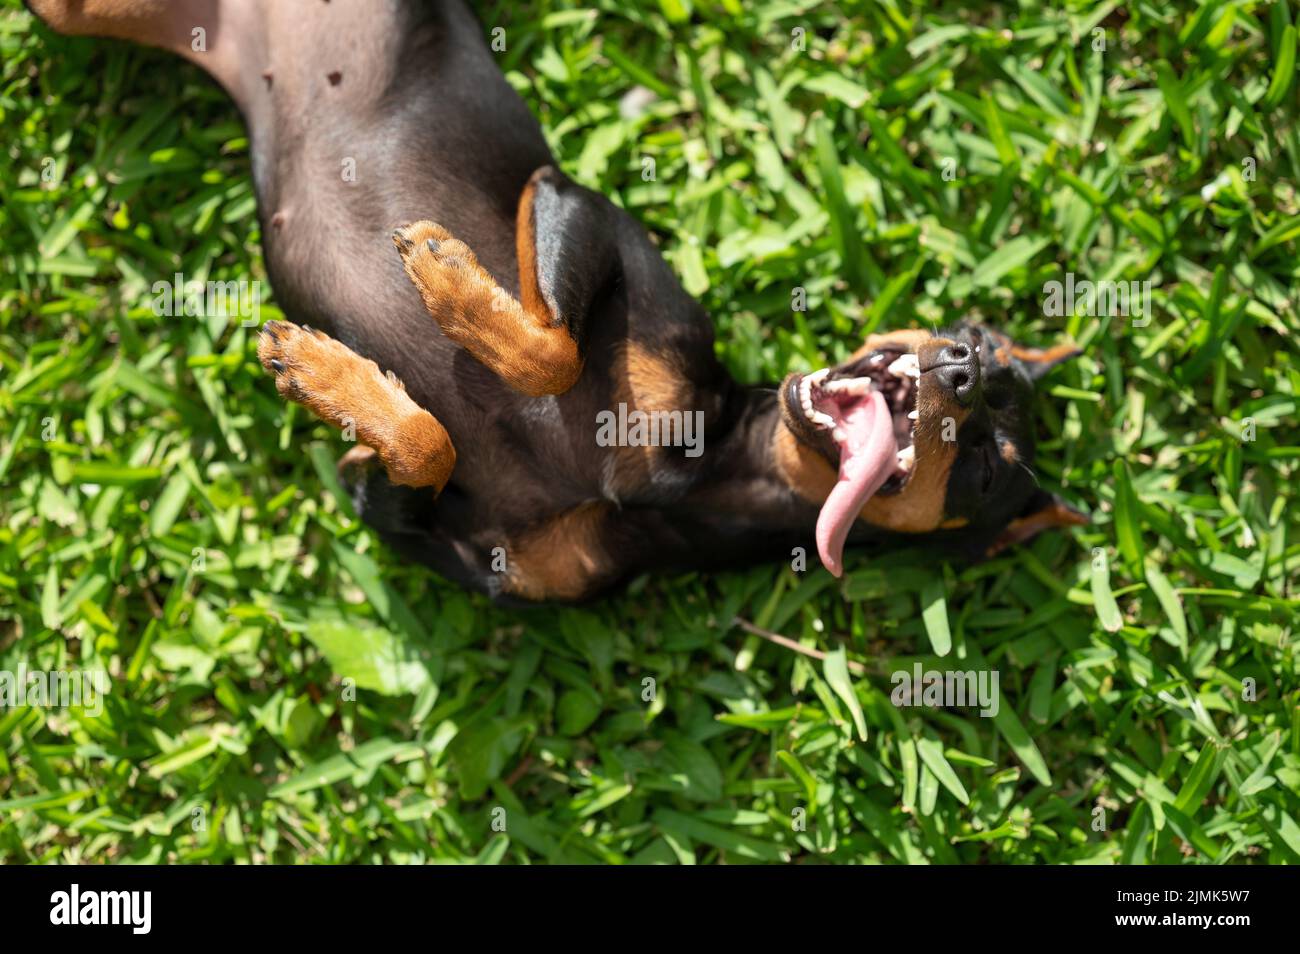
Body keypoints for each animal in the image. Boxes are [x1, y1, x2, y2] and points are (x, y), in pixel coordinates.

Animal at [27, 0, 1086, 605]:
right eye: (974, 338)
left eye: (988, 472)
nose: (962, 366)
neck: (710, 470)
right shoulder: (582, 204)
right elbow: (553, 348)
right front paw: (443, 280)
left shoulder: (432, 543)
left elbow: (426, 445)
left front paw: (331, 380)